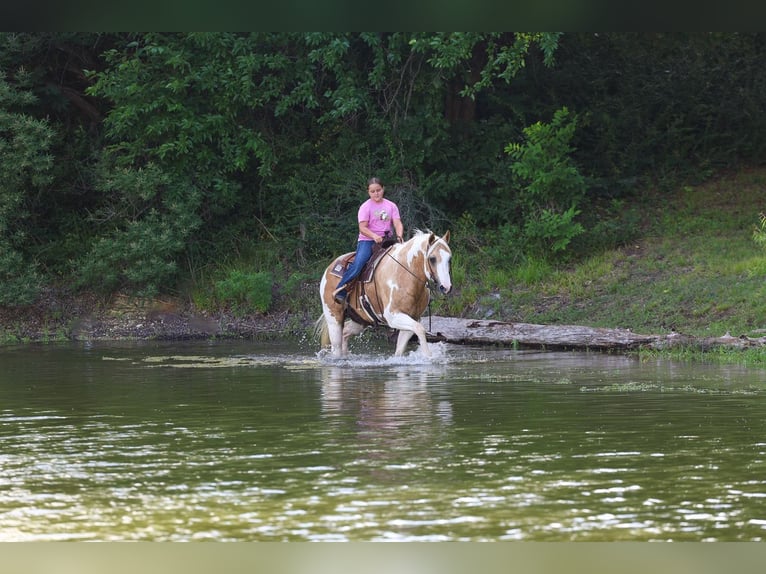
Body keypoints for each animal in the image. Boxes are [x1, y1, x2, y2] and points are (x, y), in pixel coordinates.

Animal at [316, 230, 452, 358]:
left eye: (449, 259)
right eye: (432, 259)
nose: (446, 287)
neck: (404, 274)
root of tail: (329, 267)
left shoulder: (411, 318)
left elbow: (401, 348)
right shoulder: (393, 316)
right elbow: (420, 329)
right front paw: (428, 356)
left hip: (360, 320)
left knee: (345, 332)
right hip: (334, 318)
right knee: (336, 346)